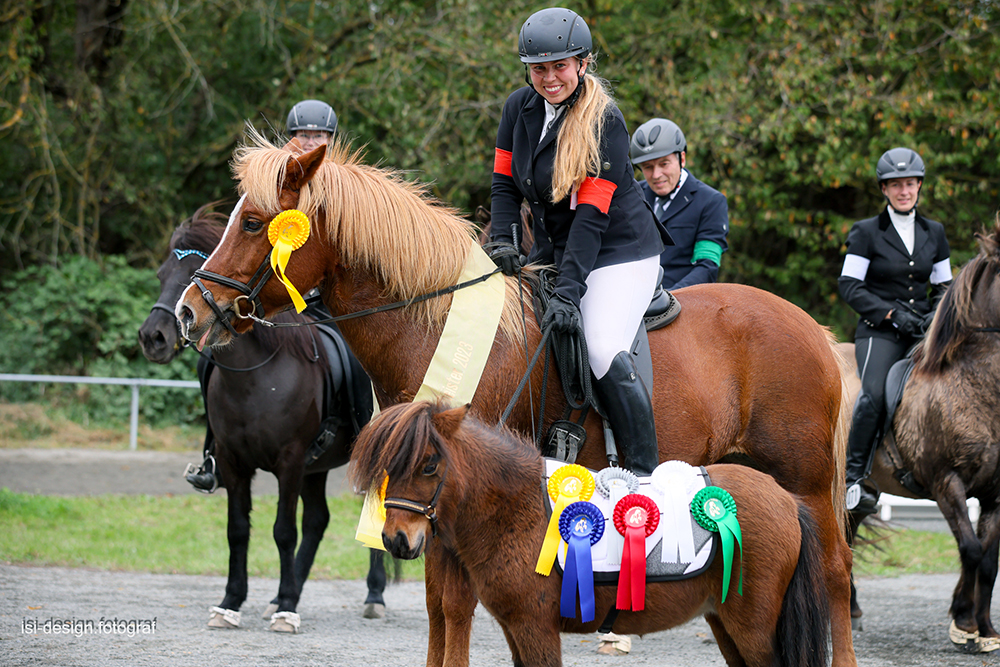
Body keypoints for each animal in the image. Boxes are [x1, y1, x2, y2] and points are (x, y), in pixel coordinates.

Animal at [139, 206, 388, 636]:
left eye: (192, 272)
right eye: (161, 275)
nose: (154, 336)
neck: (255, 378)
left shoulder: (289, 463)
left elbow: (283, 532)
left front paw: (287, 609)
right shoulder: (233, 462)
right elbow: (238, 530)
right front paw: (231, 603)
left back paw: (372, 595)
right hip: (315, 468)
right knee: (318, 520)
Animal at [350, 402, 828, 667]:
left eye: (430, 464)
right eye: (388, 467)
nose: (396, 540)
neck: (516, 509)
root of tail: (787, 501)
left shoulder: (535, 629)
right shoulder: (516, 631)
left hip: (754, 630)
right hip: (727, 624)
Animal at [840, 219, 1000, 652]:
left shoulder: (995, 493)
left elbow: (988, 560)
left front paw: (984, 629)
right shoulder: (947, 483)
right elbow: (970, 549)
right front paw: (964, 623)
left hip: (866, 490)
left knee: (849, 530)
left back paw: (852, 609)